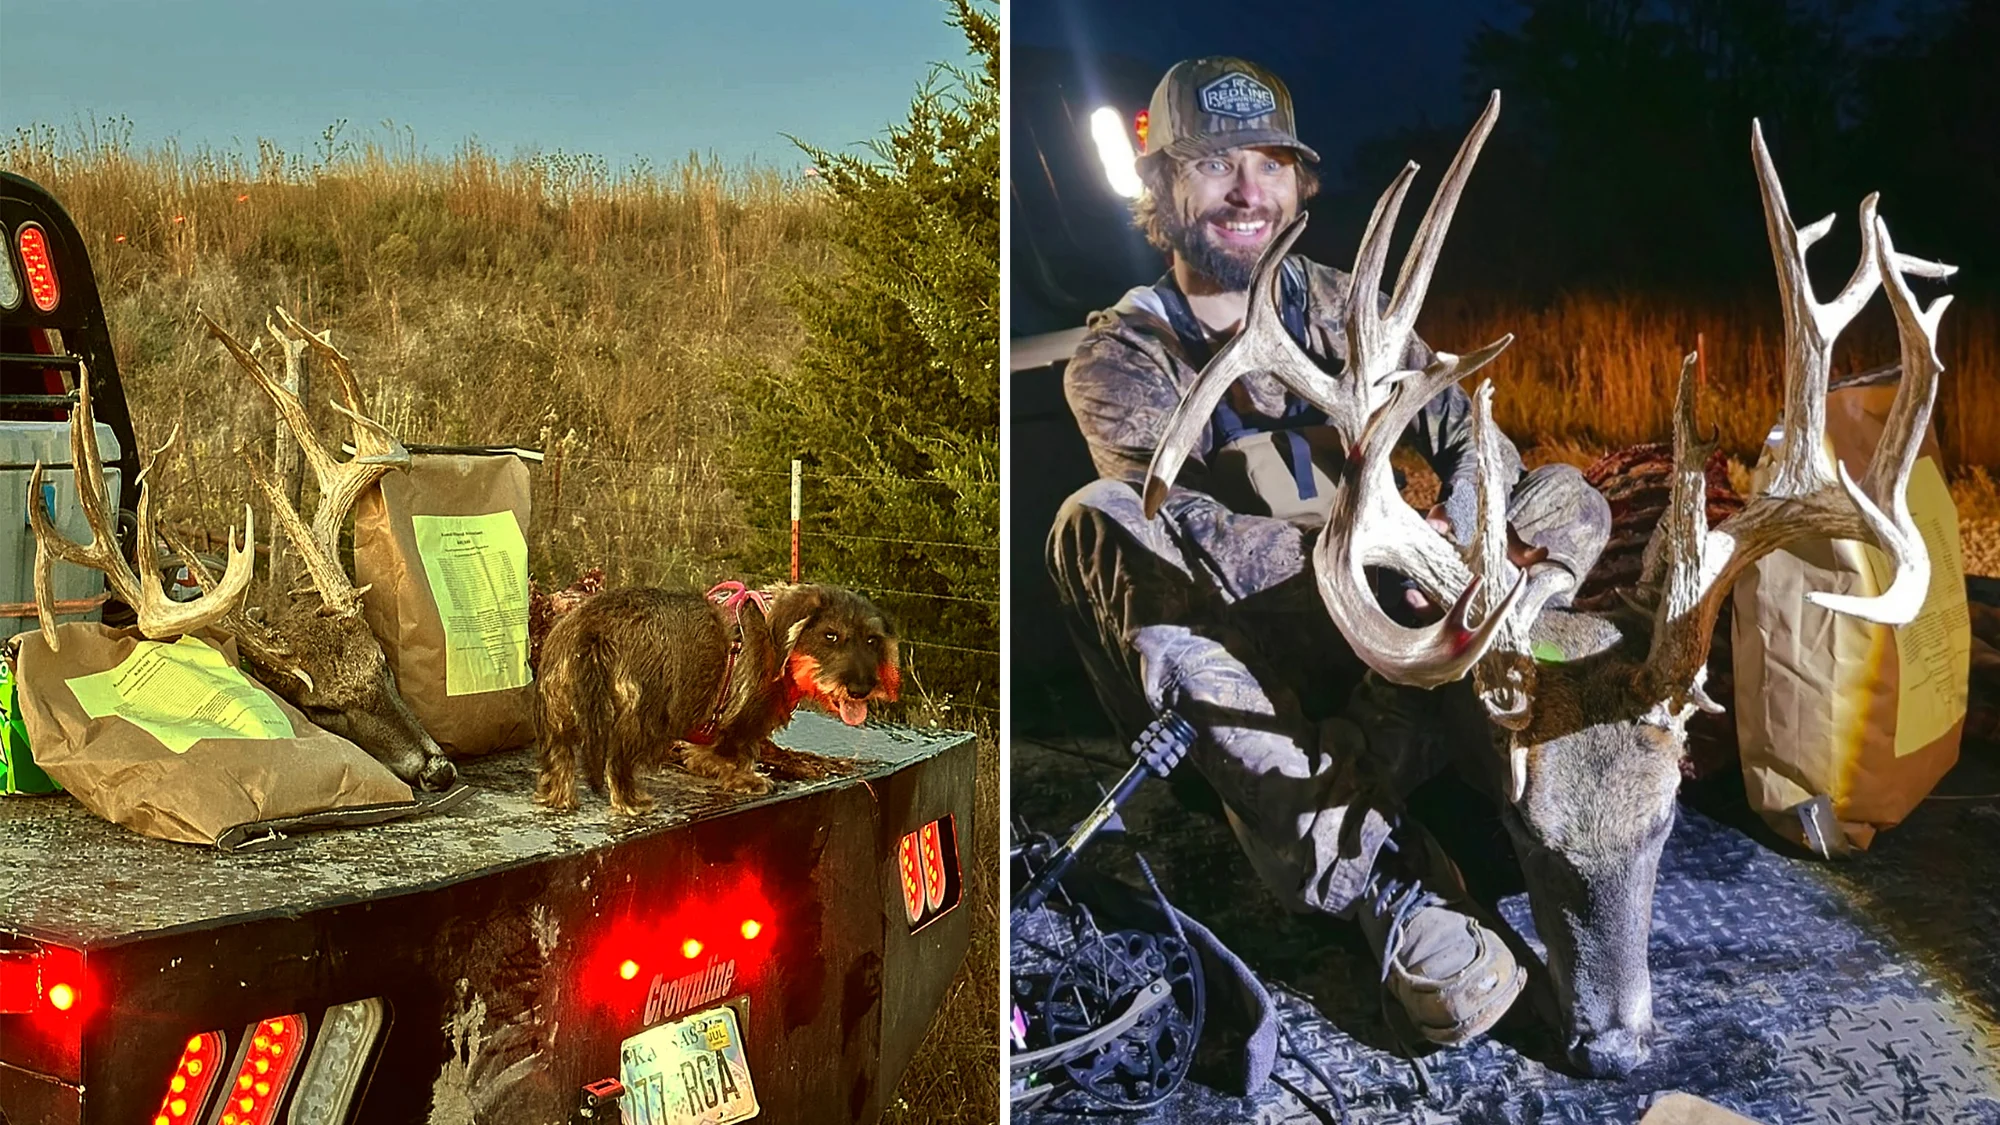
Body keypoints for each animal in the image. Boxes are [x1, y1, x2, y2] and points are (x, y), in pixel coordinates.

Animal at [536, 580, 904, 808]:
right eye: (831, 635)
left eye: (872, 640)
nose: (861, 689)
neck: (777, 641)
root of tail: (593, 627)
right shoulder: (742, 722)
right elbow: (733, 753)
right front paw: (746, 779)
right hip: (643, 715)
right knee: (618, 762)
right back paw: (632, 801)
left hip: (559, 716)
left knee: (560, 760)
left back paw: (559, 798)